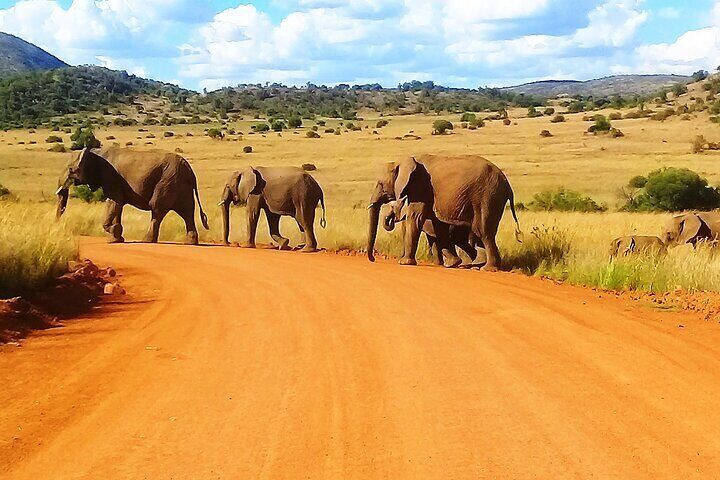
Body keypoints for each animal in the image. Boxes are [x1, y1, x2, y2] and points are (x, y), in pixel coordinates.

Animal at [56, 146, 210, 244]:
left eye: (70, 170)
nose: (58, 226)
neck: (94, 152)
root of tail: (190, 172)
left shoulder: (111, 177)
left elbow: (114, 202)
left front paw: (113, 236)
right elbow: (117, 205)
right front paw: (117, 239)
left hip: (167, 182)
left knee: (157, 209)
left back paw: (146, 241)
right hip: (180, 184)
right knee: (187, 212)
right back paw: (190, 243)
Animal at [368, 156, 520, 272]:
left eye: (380, 184)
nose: (373, 259)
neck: (403, 161)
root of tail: (507, 184)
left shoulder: (419, 187)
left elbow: (415, 218)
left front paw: (404, 262)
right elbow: (438, 226)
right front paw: (452, 263)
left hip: (487, 197)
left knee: (484, 232)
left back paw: (487, 268)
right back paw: (475, 265)